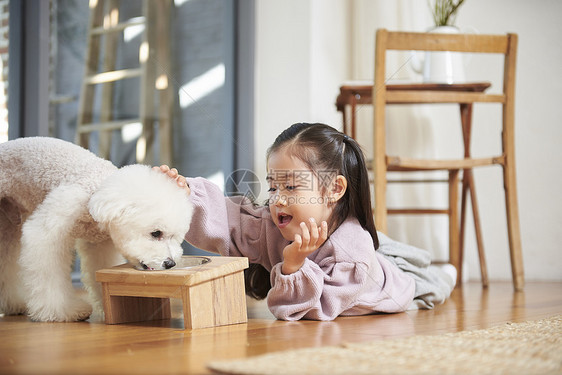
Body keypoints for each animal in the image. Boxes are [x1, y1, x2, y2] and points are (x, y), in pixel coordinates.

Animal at [0, 138, 191, 324]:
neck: (95, 195)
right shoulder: (50, 229)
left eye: (176, 238)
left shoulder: (99, 245)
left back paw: (13, 304)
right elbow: (49, 273)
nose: (170, 263)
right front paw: (62, 312)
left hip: (8, 229)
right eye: (156, 233)